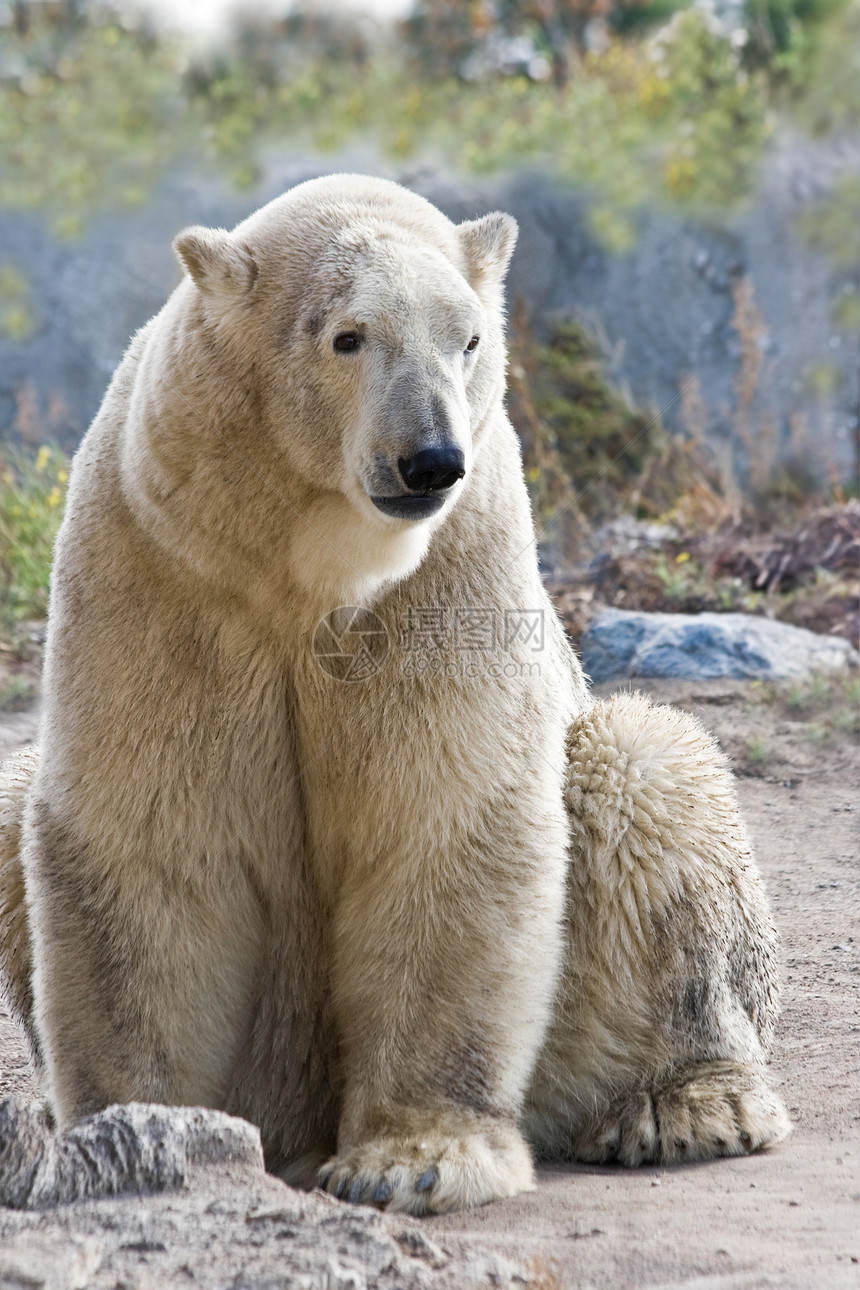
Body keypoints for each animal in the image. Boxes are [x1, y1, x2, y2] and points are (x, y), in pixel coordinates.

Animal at [0, 171, 789, 1207]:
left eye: (470, 338)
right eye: (348, 336)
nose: (430, 460)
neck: (306, 570)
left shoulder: (452, 572)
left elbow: (444, 821)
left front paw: (414, 1160)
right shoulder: (158, 562)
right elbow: (146, 836)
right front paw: (134, 1128)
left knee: (646, 769)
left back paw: (685, 1104)